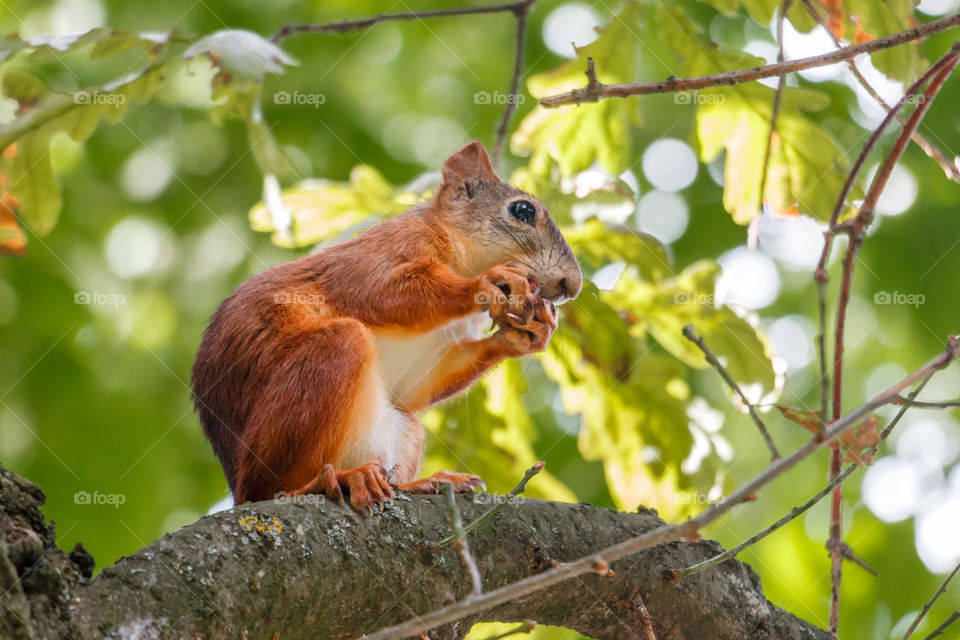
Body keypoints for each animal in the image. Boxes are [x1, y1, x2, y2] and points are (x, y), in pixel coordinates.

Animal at [190, 142, 580, 512]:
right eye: (523, 211)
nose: (572, 285)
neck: (460, 255)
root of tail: (237, 488)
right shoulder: (385, 250)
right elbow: (379, 292)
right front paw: (487, 283)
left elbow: (414, 386)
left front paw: (525, 335)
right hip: (319, 370)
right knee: (269, 488)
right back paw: (334, 481)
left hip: (405, 429)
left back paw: (424, 482)